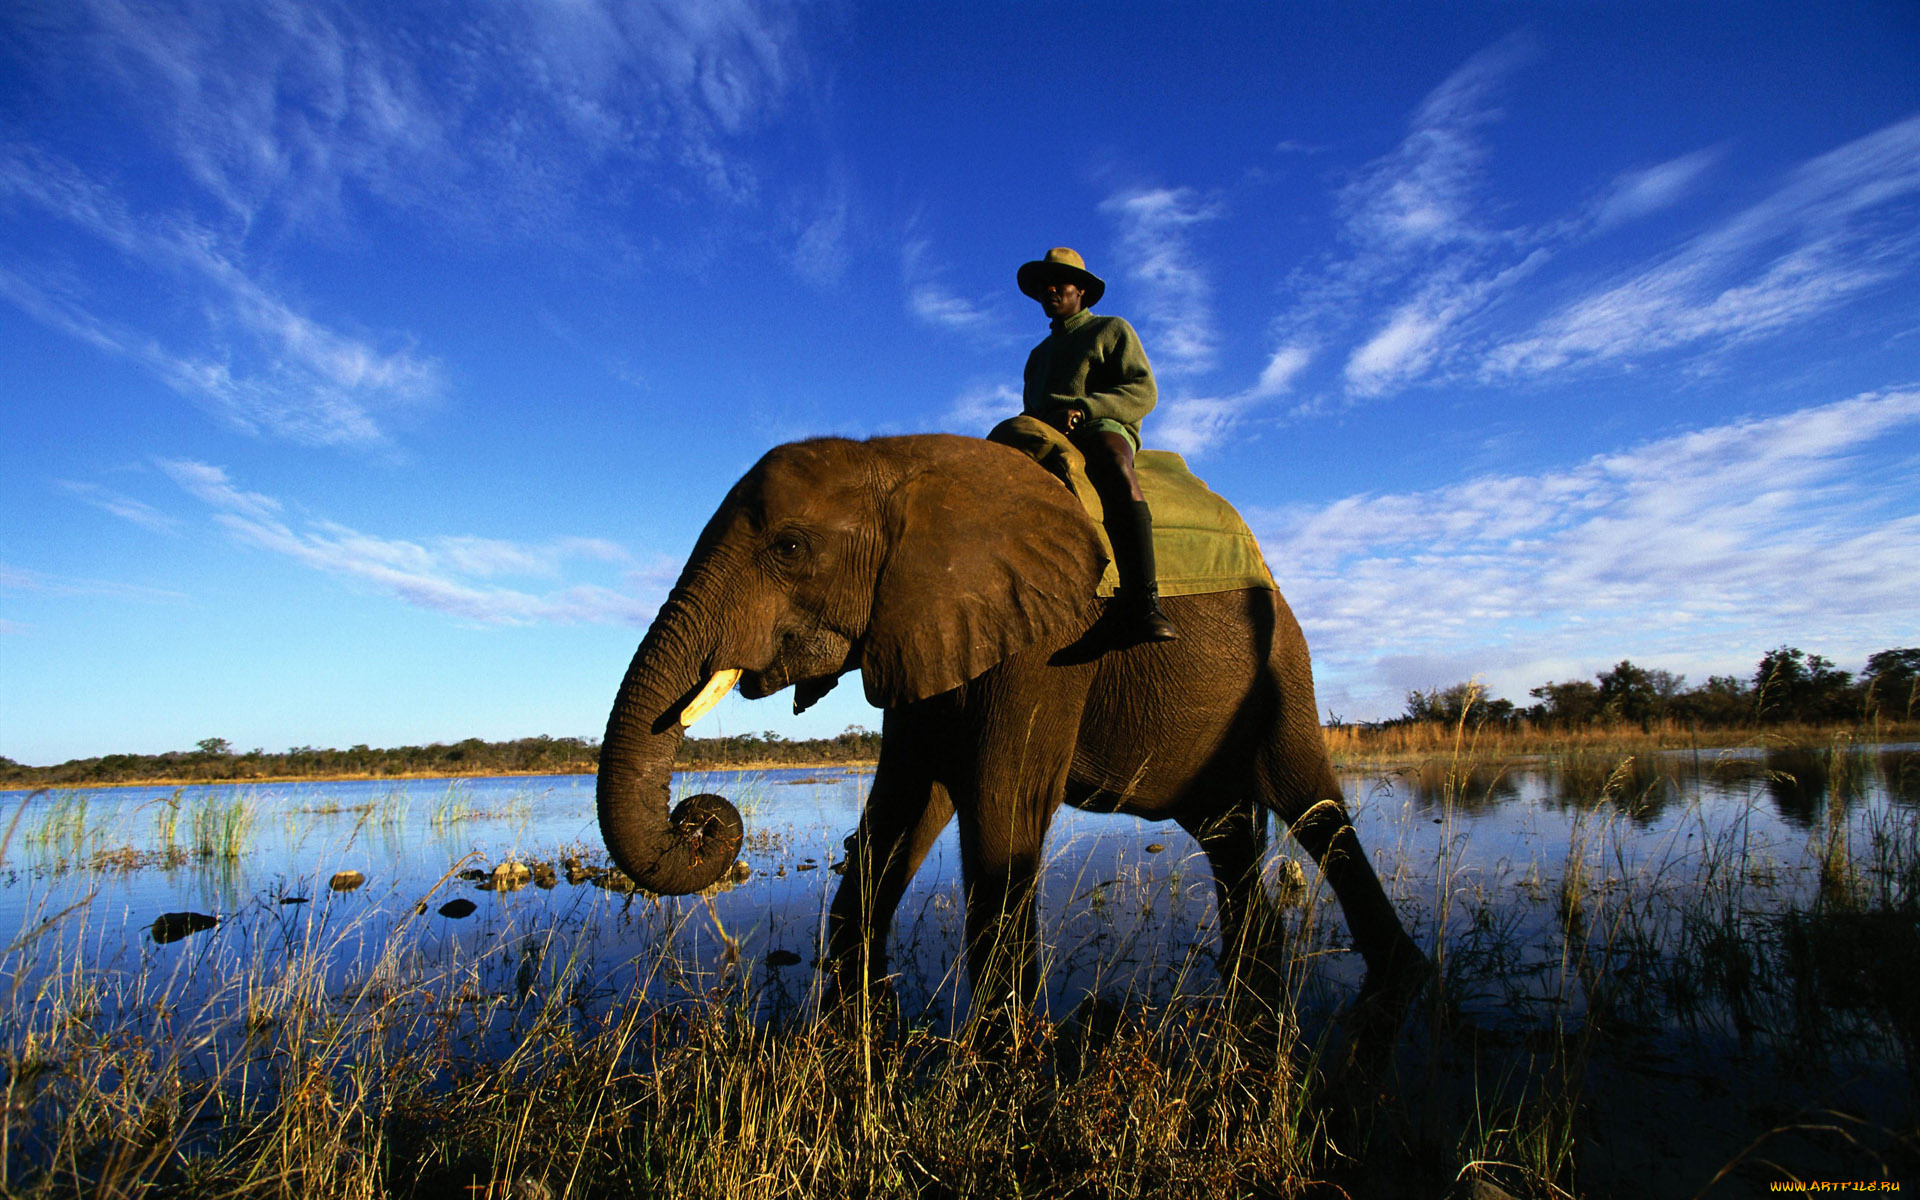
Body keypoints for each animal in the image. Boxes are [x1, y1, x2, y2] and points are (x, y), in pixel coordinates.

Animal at [595, 430, 1428, 1029]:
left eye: (790, 548)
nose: (697, 817)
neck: (898, 460)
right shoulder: (922, 627)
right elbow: (899, 812)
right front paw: (858, 1009)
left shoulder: (1050, 643)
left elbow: (1001, 806)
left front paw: (1002, 1049)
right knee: (1226, 828)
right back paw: (1254, 975)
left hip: (1284, 667)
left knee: (1313, 809)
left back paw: (1397, 979)